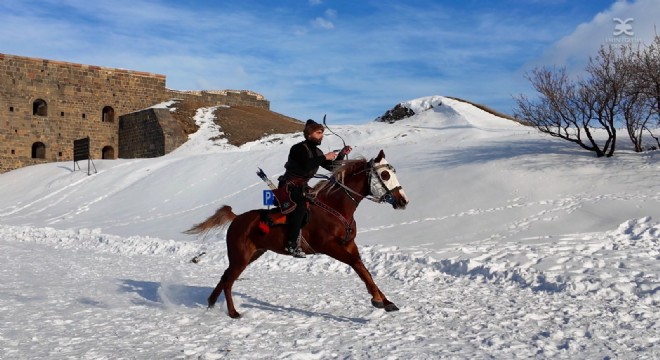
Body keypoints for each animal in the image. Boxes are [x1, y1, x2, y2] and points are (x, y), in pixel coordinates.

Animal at [186, 149, 410, 318]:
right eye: (385, 175)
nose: (403, 200)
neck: (335, 206)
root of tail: (237, 218)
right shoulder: (329, 247)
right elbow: (357, 266)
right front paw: (378, 299)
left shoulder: (349, 244)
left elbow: (364, 270)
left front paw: (385, 301)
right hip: (240, 257)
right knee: (229, 281)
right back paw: (232, 312)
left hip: (252, 254)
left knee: (225, 277)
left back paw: (211, 302)